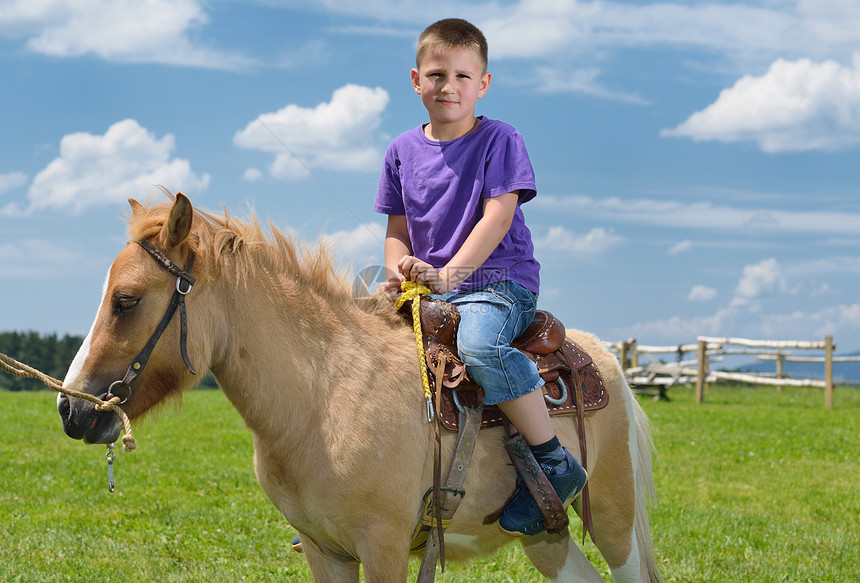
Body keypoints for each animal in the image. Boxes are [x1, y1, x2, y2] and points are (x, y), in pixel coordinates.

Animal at [57, 195, 660, 583]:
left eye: (127, 300)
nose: (70, 408)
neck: (325, 396)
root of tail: (601, 355)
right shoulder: (325, 552)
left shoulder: (384, 547)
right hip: (546, 536)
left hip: (613, 522)